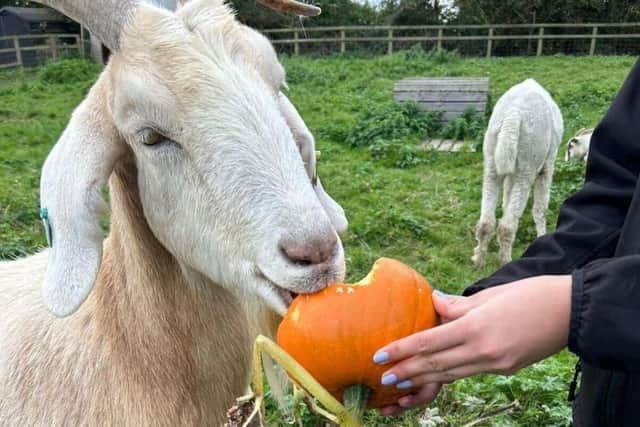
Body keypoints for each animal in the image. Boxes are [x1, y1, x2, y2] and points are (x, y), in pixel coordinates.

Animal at [470, 79, 564, 268]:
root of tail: (513, 114)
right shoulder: (547, 165)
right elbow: (540, 208)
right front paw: (542, 238)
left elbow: (506, 199)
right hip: (529, 162)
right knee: (508, 225)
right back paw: (505, 261)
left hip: (492, 157)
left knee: (487, 220)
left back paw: (479, 260)